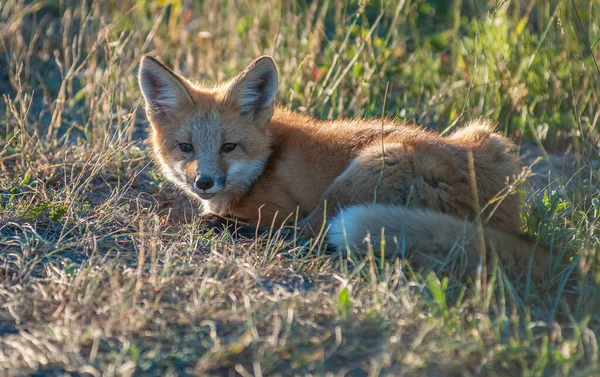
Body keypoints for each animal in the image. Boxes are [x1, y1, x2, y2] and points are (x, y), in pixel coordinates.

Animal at [139, 54, 548, 278]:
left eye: (229, 147)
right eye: (186, 148)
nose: (204, 182)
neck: (267, 157)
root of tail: (504, 218)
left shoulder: (279, 209)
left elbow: (278, 227)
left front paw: (214, 221)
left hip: (371, 165)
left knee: (307, 238)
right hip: (487, 136)